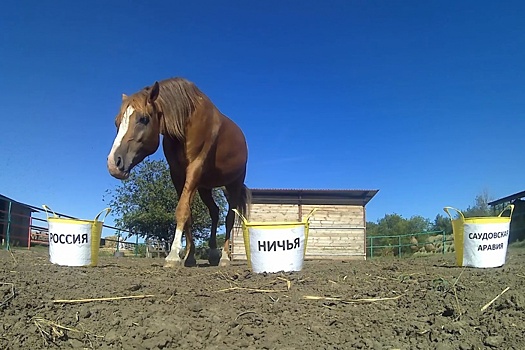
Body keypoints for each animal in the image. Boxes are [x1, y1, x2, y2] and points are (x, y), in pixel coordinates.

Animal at [106, 77, 250, 268]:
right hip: (205, 187)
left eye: (143, 119)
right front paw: (190, 257)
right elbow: (188, 215)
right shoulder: (177, 174)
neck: (187, 120)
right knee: (214, 212)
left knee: (229, 218)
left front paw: (173, 256)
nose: (113, 163)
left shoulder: (194, 168)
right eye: (116, 122)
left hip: (234, 185)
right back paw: (213, 254)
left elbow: (182, 210)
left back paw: (225, 258)